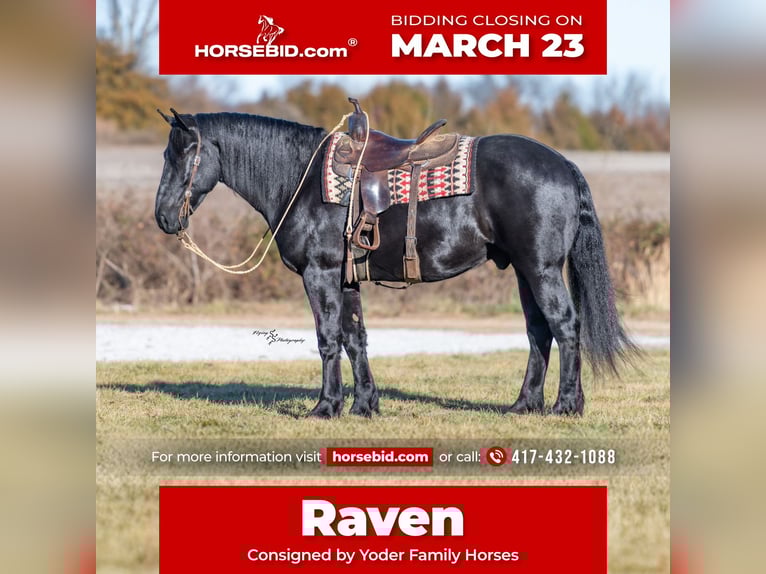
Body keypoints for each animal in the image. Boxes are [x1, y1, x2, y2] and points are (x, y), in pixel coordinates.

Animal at [154, 107, 636, 418]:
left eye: (182, 154)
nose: (162, 217)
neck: (300, 178)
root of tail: (563, 163)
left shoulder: (320, 274)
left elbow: (329, 338)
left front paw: (326, 407)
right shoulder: (346, 279)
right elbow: (356, 338)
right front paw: (364, 405)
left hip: (541, 268)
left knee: (565, 326)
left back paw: (566, 405)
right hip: (524, 270)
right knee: (539, 332)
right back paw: (524, 405)